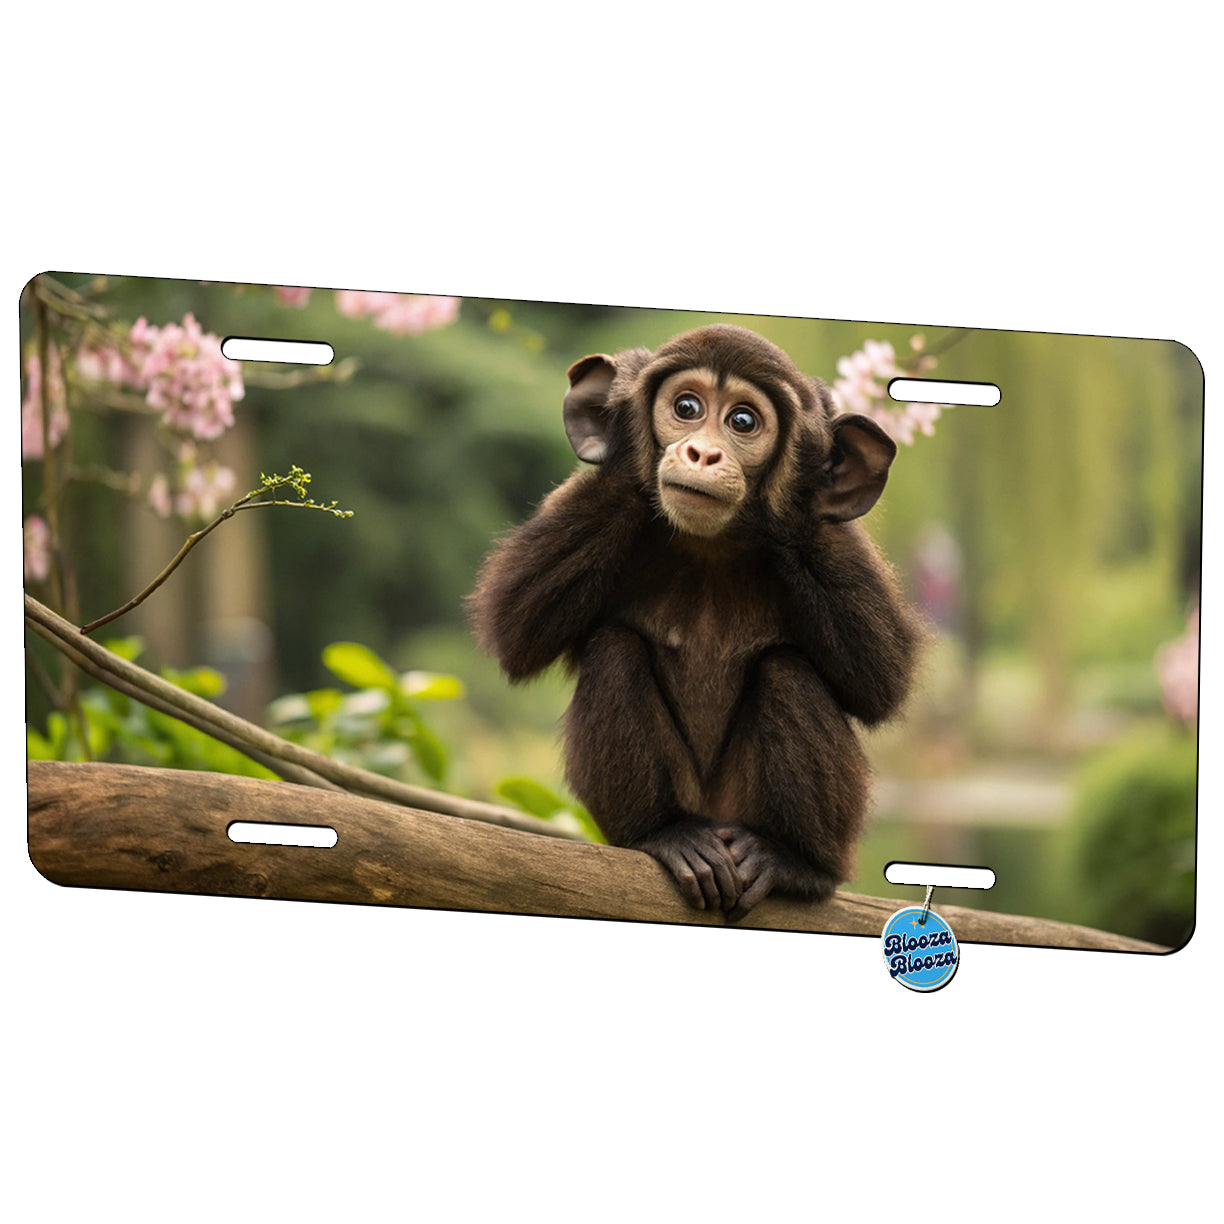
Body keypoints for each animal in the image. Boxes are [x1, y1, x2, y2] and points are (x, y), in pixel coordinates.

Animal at [470, 324, 924, 921]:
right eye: (686, 407)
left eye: (742, 421)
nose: (701, 451)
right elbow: (516, 626)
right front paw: (626, 444)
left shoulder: (839, 540)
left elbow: (882, 678)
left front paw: (794, 487)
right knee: (614, 649)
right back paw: (666, 835)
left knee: (787, 673)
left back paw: (795, 863)